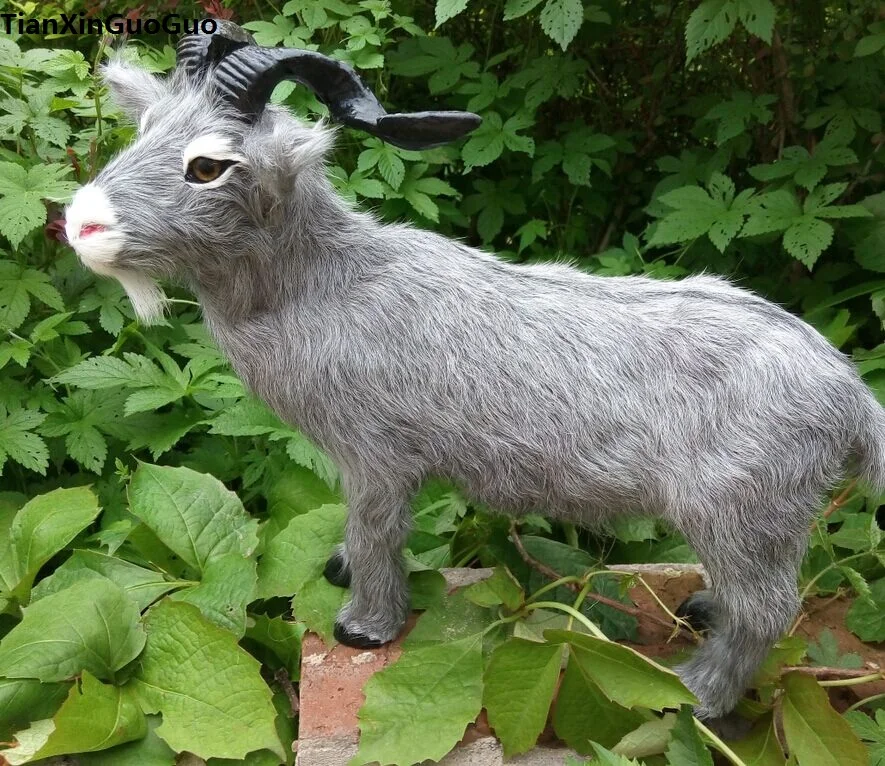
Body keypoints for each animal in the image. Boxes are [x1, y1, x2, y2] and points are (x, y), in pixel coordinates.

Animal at [63, 21, 885, 720]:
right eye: (144, 130)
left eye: (207, 165)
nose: (80, 222)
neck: (328, 286)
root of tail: (849, 392)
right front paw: (339, 569)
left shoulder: (377, 455)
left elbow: (377, 532)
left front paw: (365, 623)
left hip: (739, 511)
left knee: (770, 610)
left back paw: (698, 694)